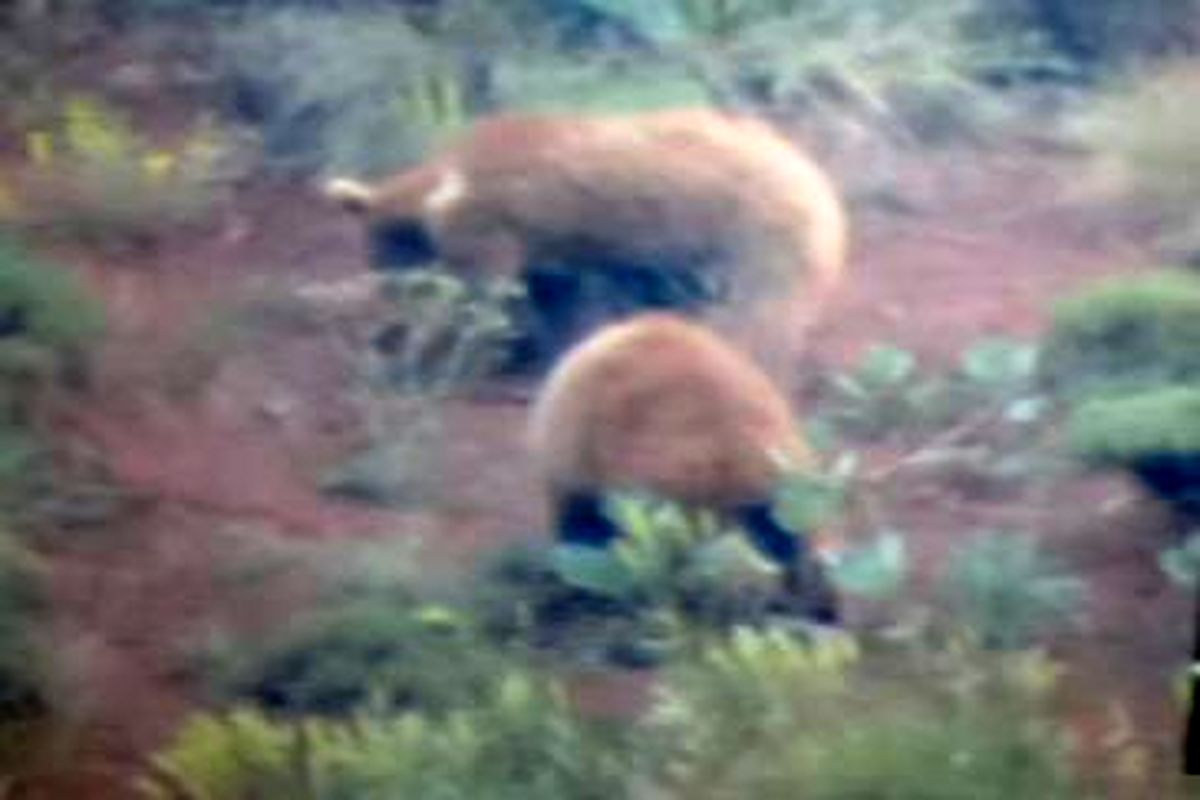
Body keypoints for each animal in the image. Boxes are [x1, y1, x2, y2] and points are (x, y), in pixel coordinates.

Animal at [319, 105, 844, 367]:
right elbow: (554, 303)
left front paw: (422, 352)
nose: (390, 292)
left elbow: (483, 299)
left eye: (388, 255)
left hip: (753, 234)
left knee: (761, 317)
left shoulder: (492, 226)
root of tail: (818, 181)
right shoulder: (549, 251)